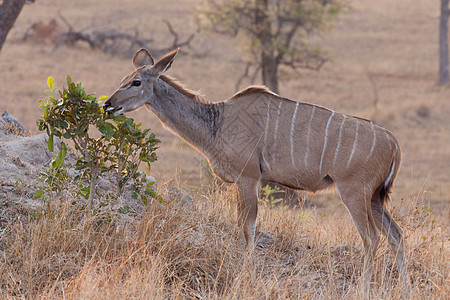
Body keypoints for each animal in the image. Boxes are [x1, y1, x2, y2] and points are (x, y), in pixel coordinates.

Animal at [104, 48, 408, 292]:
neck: (217, 122)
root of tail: (394, 143)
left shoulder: (248, 179)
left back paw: (364, 288)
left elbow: (248, 228)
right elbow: (242, 226)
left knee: (371, 238)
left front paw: (245, 274)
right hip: (375, 198)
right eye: (121, 80)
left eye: (136, 81)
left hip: (354, 192)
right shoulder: (242, 182)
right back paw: (403, 288)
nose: (108, 104)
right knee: (396, 235)